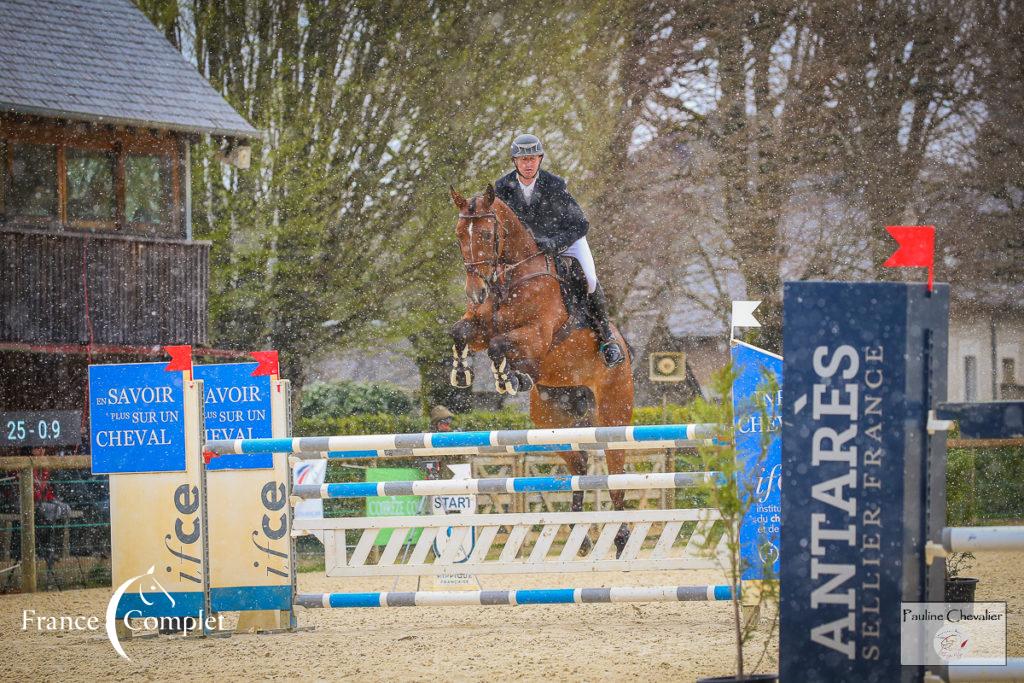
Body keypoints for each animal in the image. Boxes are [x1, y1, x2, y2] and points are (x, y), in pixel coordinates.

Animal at [446, 184, 634, 552]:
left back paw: (620, 538)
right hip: (553, 423)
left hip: (612, 416)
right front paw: (464, 372)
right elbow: (462, 332)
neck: (508, 278)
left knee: (615, 478)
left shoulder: (536, 335)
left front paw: (508, 377)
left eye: (487, 234)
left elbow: (499, 345)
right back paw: (579, 535)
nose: (476, 293)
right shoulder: (480, 327)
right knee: (580, 465)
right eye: (460, 234)